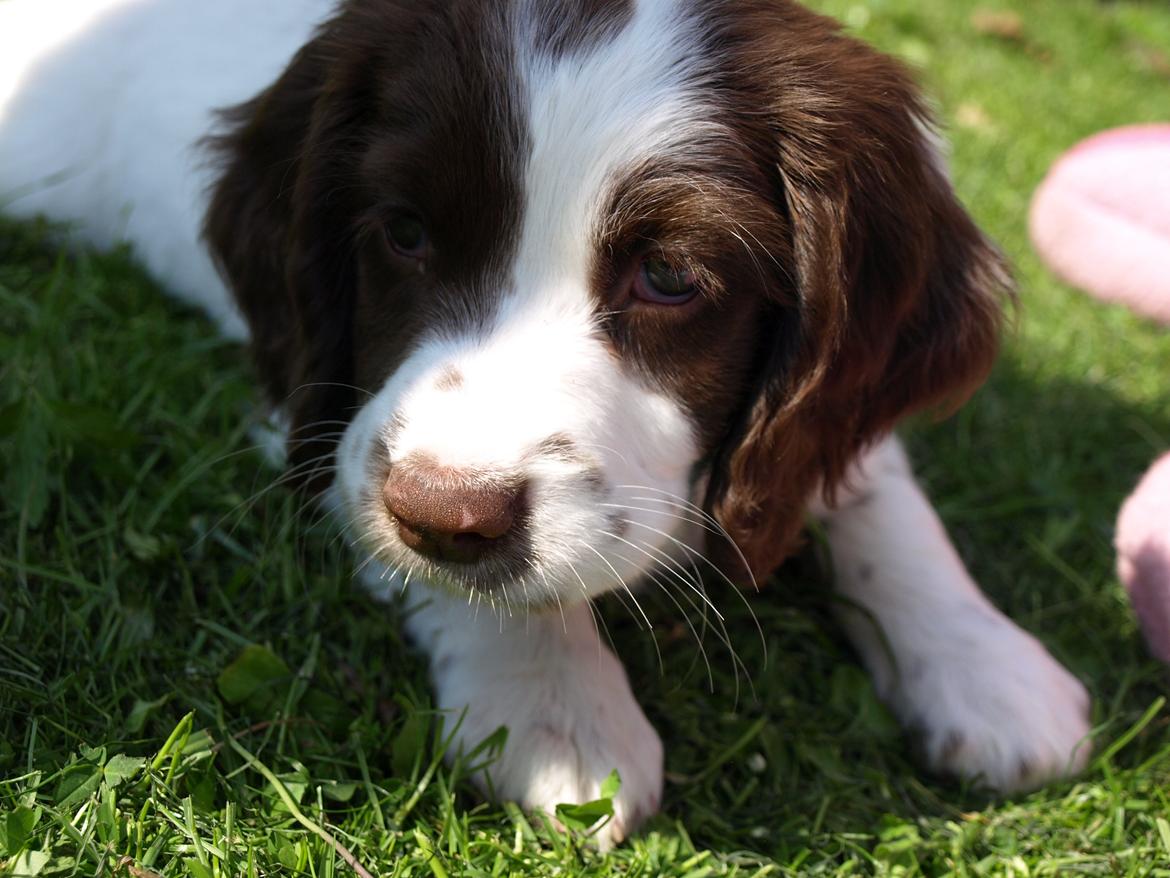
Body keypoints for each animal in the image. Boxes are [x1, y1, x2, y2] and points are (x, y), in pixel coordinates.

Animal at [0, 0, 1090, 847]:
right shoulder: (322, 403)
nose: (434, 513)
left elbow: (865, 479)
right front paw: (558, 709)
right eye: (403, 233)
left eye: (670, 275)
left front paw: (985, 661)